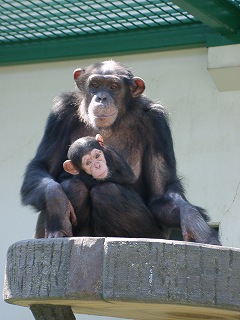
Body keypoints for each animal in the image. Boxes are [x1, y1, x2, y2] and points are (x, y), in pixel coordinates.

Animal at [21, 60, 221, 245]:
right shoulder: (61, 113)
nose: (101, 98)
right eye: (95, 85)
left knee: (108, 192)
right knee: (73, 186)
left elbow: (162, 192)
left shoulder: (157, 122)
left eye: (113, 87)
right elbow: (42, 166)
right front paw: (57, 204)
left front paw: (195, 222)